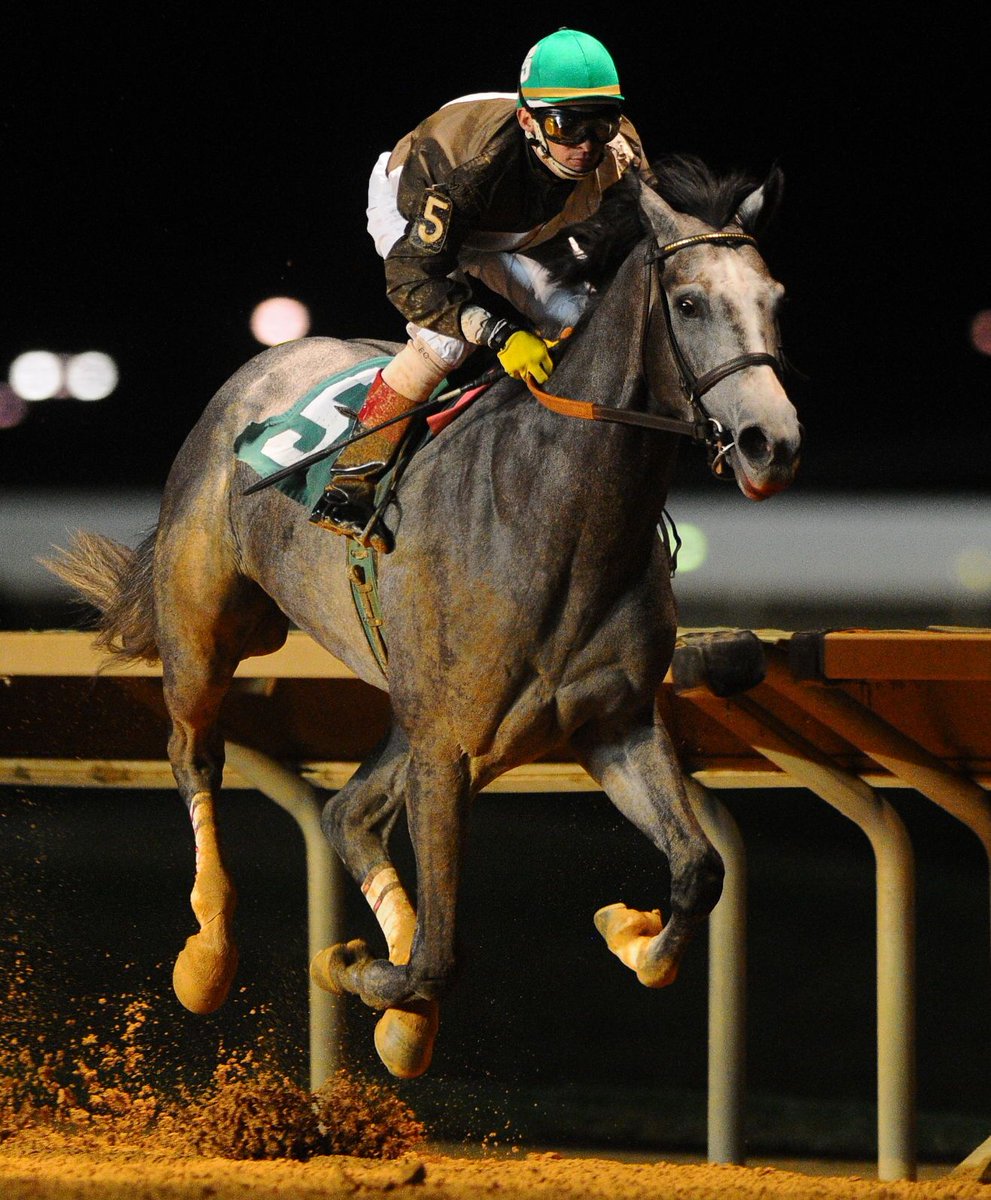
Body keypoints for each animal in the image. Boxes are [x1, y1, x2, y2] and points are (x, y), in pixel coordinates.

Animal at [47, 154, 801, 1081]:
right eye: (689, 303)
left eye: (774, 298)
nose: (771, 441)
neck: (558, 510)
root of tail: (261, 368)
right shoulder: (449, 748)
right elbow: (438, 956)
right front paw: (360, 972)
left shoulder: (611, 721)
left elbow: (698, 870)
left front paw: (626, 931)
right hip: (205, 628)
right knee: (196, 756)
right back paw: (210, 953)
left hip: (405, 695)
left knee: (346, 811)